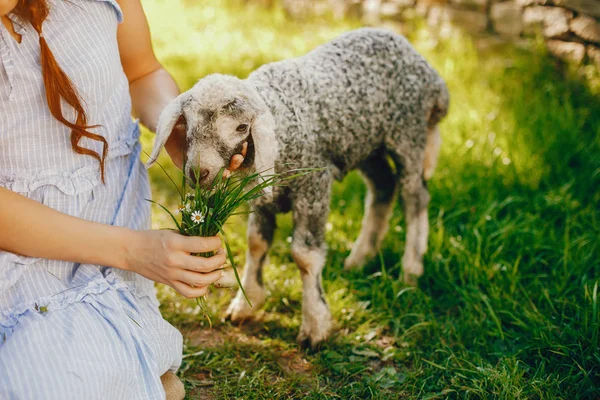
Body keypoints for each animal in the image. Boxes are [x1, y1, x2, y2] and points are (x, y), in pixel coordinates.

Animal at [149, 28, 450, 348]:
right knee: (383, 186)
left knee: (414, 196)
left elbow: (305, 256)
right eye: (186, 122)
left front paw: (315, 325)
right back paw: (359, 258)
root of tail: (430, 75)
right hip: (364, 145)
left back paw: (410, 269)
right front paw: (246, 304)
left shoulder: (313, 185)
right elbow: (256, 242)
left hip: (408, 136)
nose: (198, 173)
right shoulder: (262, 195)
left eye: (242, 127)